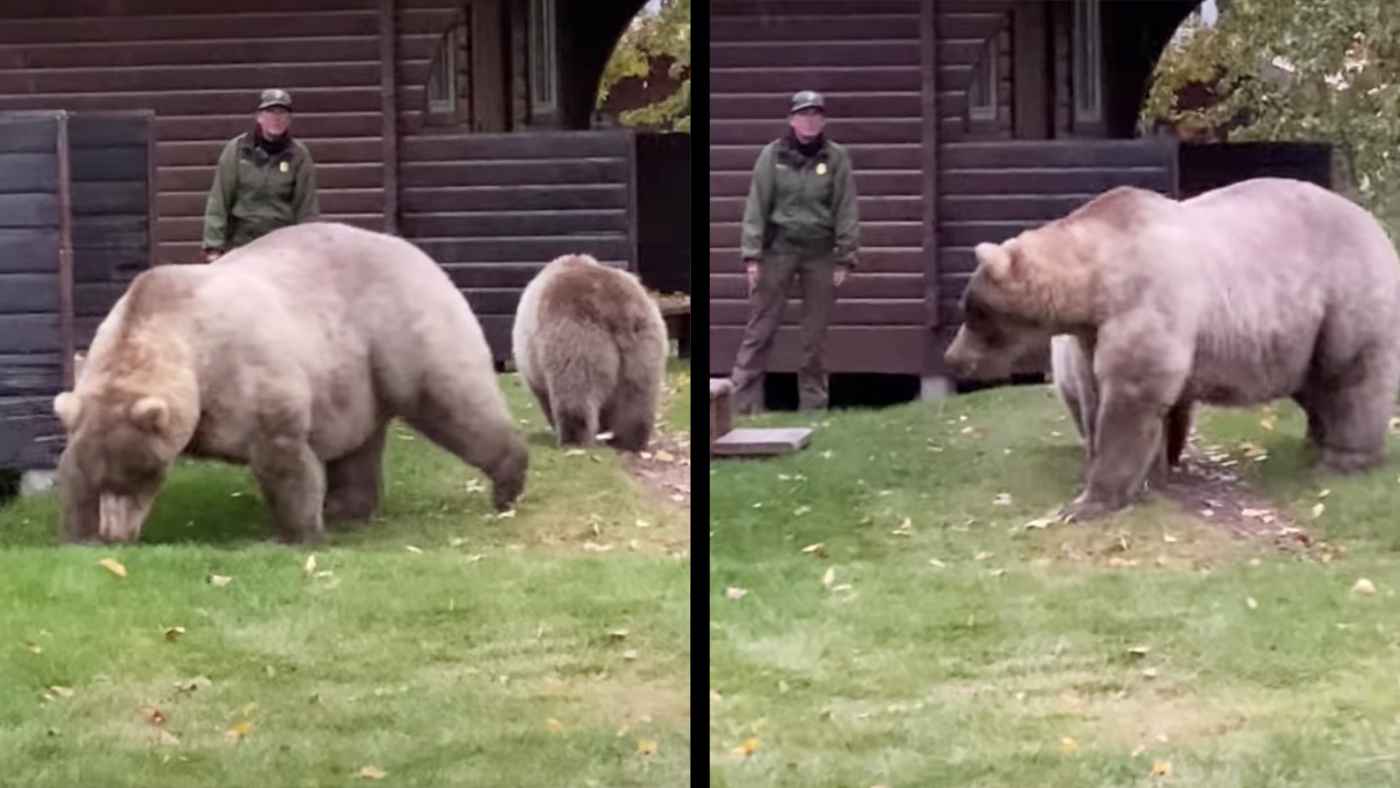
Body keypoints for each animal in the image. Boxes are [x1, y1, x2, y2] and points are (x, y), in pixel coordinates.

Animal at [53, 221, 528, 544]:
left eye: (140, 472)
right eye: (109, 478)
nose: (116, 534)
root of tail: (416, 252)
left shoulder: (248, 374)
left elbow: (282, 456)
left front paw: (299, 532)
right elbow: (73, 472)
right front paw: (81, 532)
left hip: (404, 331)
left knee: (452, 399)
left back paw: (508, 482)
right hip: (355, 375)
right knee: (360, 446)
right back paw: (347, 509)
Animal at [511, 253, 669, 451]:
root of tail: (616, 307)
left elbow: (544, 395)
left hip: (576, 337)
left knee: (575, 392)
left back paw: (573, 440)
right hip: (644, 341)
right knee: (638, 395)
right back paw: (630, 440)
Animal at [945, 178, 1400, 520]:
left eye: (975, 313)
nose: (953, 358)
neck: (1097, 282)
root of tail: (1375, 225)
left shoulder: (1146, 299)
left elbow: (1130, 397)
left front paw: (1091, 500)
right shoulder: (1094, 332)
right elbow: (1099, 394)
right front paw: (1148, 476)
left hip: (1347, 297)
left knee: (1352, 377)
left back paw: (1344, 458)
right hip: (1301, 336)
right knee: (1315, 385)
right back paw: (1315, 440)